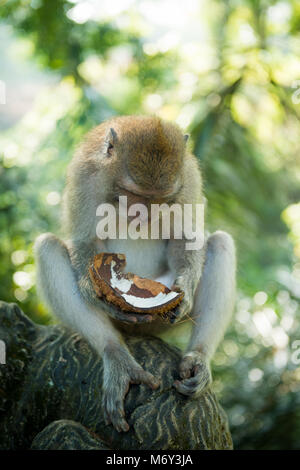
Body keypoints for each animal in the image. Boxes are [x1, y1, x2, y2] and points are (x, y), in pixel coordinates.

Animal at [35, 114, 236, 434]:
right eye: (134, 194)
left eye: (161, 199)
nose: (144, 216)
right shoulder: (85, 175)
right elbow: (84, 240)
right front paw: (95, 291)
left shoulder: (188, 179)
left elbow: (186, 237)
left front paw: (185, 289)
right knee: (47, 248)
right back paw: (116, 356)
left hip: (160, 323)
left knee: (220, 243)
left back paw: (198, 360)